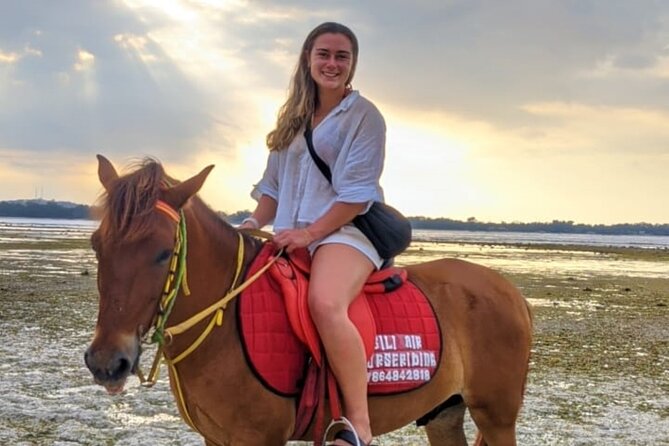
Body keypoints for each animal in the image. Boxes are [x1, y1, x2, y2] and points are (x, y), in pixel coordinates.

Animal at [84, 155, 532, 446]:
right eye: (97, 245)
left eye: (163, 253)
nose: (107, 363)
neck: (224, 324)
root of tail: (510, 292)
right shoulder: (217, 438)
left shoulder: (256, 439)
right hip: (445, 414)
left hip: (496, 417)